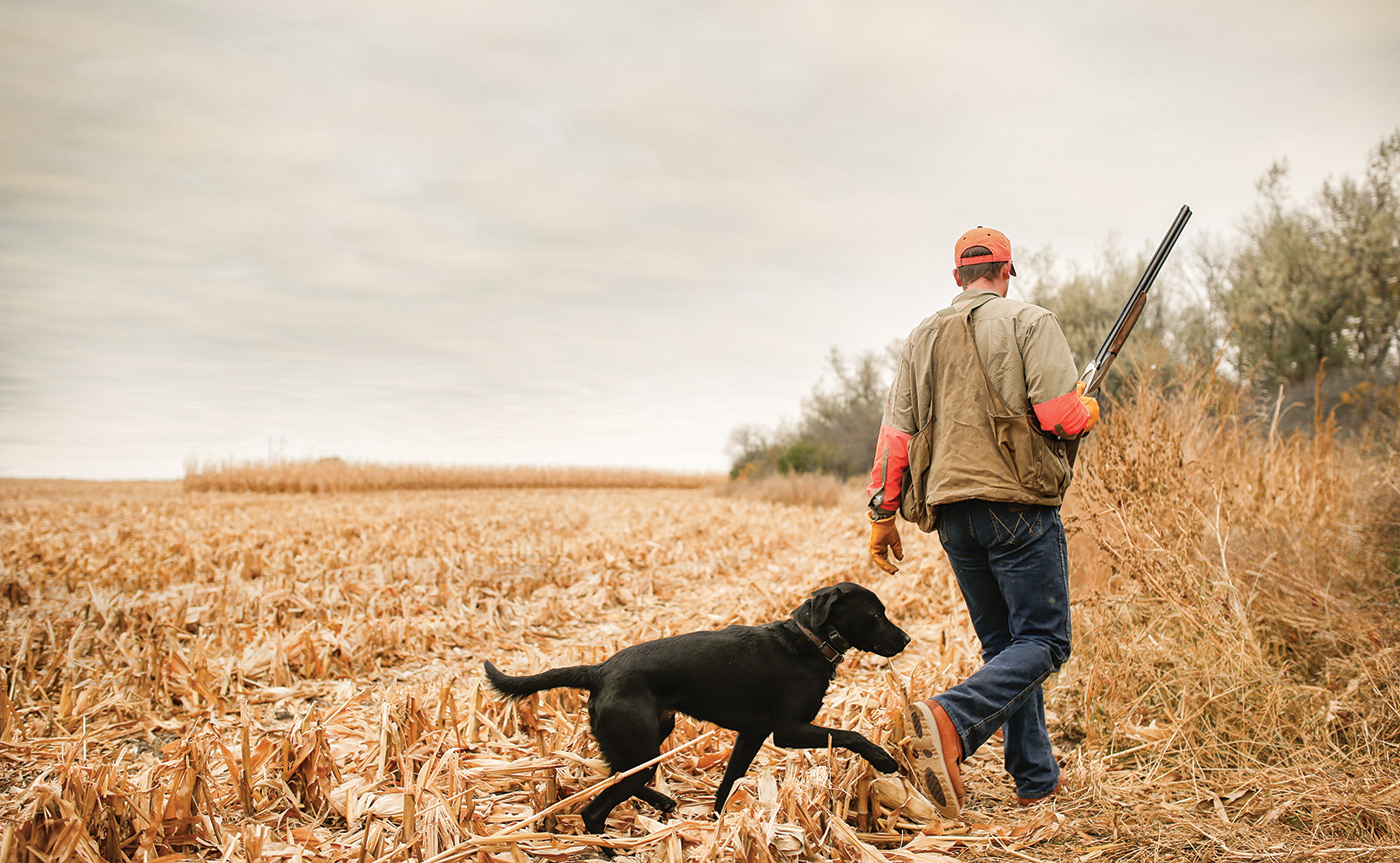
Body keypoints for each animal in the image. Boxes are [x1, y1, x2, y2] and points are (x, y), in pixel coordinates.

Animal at [481, 582, 907, 834]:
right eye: (876, 614)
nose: (905, 639)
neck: (808, 641)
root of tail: (600, 670)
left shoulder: (752, 734)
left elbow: (729, 781)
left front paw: (718, 824)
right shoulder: (789, 731)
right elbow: (852, 734)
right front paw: (884, 760)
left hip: (645, 741)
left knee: (616, 776)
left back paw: (663, 802)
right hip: (640, 747)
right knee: (594, 810)